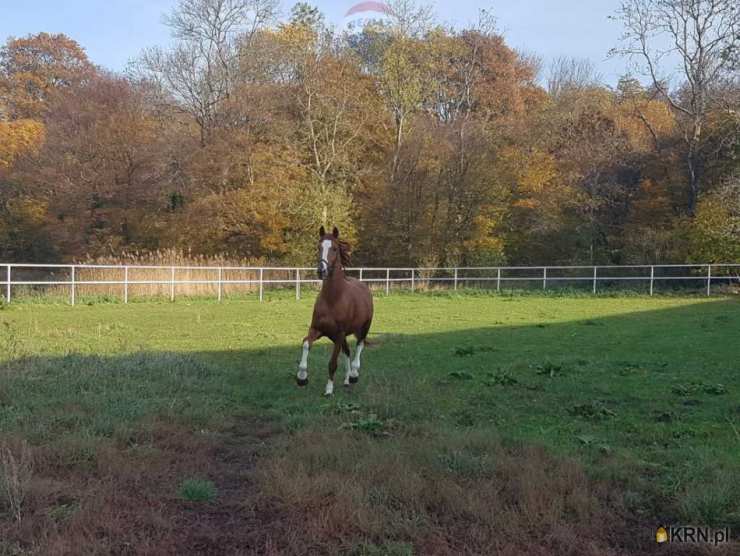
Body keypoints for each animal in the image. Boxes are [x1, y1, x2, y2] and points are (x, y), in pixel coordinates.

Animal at [296, 225, 372, 396]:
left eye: (335, 249)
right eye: (318, 247)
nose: (321, 271)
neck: (333, 299)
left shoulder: (339, 334)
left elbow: (332, 363)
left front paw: (329, 389)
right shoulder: (318, 329)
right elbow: (306, 343)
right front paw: (302, 377)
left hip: (364, 328)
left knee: (359, 346)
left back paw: (353, 375)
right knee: (347, 351)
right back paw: (346, 380)